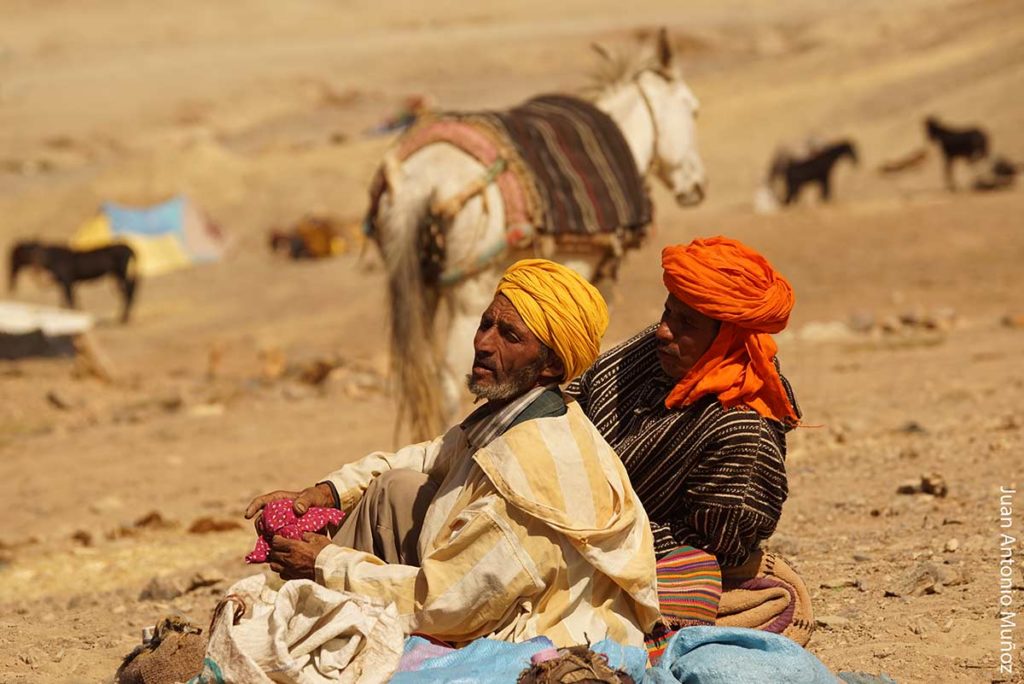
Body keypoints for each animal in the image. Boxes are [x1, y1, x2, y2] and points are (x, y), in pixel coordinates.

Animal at [8, 240, 138, 323]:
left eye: (17, 255)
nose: (13, 270)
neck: (52, 258)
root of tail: (129, 249)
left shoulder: (67, 282)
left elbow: (69, 301)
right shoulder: (64, 284)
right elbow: (65, 301)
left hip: (121, 274)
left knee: (129, 290)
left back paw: (123, 318)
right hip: (117, 275)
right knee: (129, 290)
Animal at [372, 29, 708, 438]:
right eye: (692, 109)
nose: (697, 186)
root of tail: (419, 180)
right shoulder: (579, 275)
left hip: (424, 287)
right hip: (468, 293)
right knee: (453, 371)